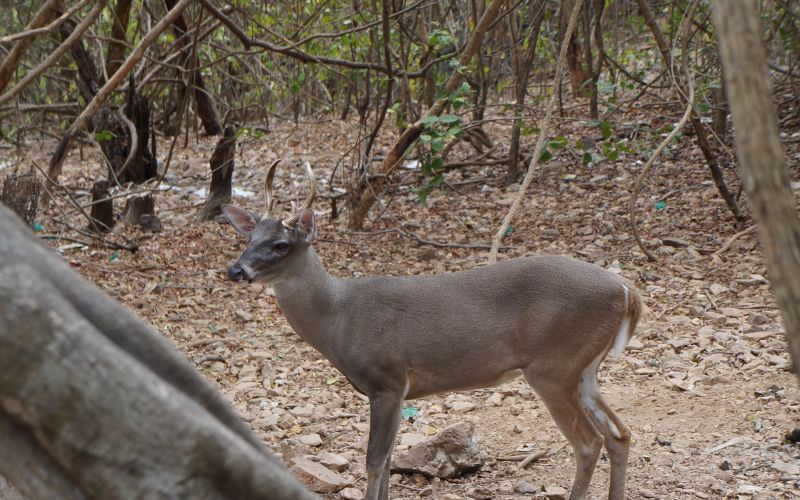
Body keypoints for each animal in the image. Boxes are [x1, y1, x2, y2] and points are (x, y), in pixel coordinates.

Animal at [223, 160, 644, 500]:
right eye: (249, 238)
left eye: (281, 244)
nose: (236, 270)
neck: (337, 316)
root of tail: (626, 290)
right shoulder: (396, 391)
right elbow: (388, 461)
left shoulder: (387, 379)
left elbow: (375, 461)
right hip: (583, 369)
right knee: (619, 434)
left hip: (553, 366)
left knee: (589, 443)